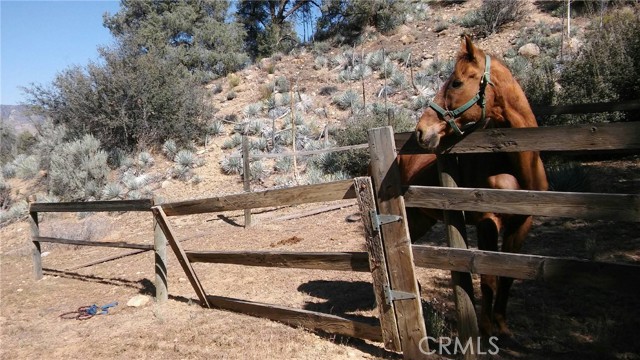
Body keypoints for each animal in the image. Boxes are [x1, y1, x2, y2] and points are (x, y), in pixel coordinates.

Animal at [404, 34, 544, 338]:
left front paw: (502, 326)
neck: (514, 164)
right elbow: (488, 276)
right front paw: (486, 327)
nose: (421, 131)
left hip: (422, 219)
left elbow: (507, 275)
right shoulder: (487, 221)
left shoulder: (522, 223)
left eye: (456, 82)